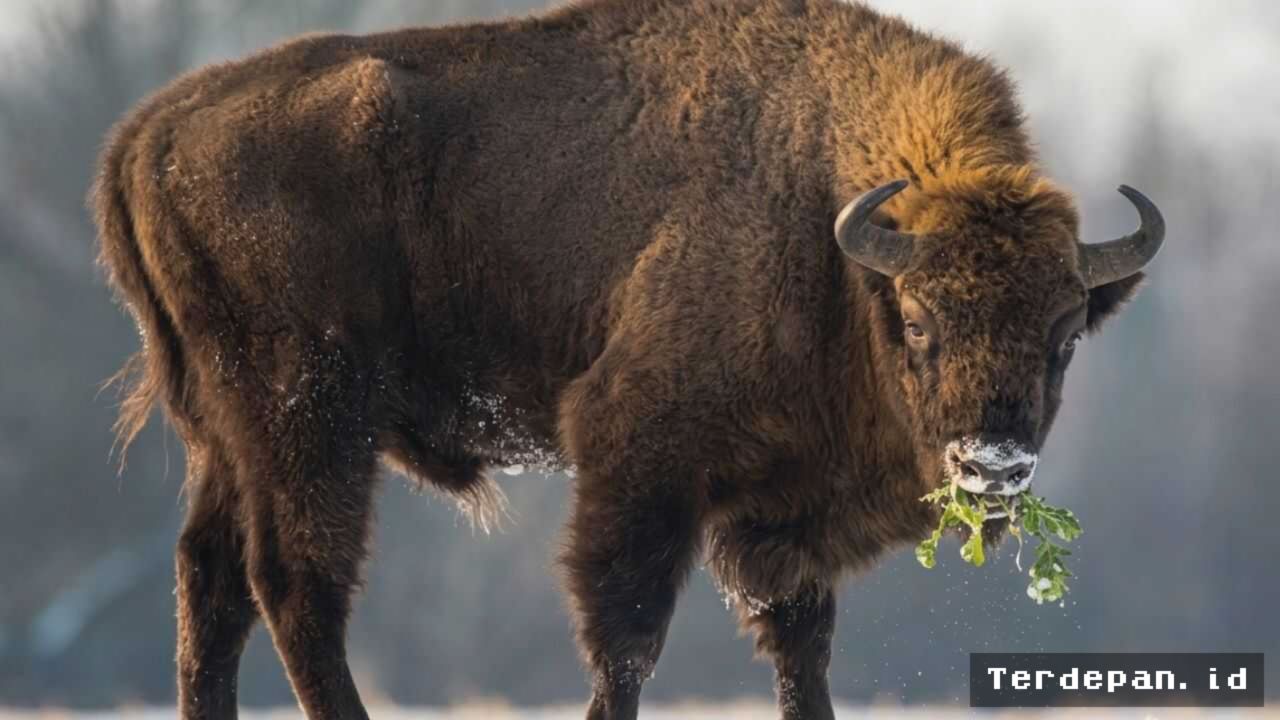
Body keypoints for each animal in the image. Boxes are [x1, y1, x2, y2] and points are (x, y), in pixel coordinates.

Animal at [92, 0, 1163, 718]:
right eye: (920, 318)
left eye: (1067, 333)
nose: (994, 465)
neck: (829, 229)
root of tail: (148, 132)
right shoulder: (641, 460)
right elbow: (627, 632)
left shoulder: (783, 513)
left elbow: (801, 643)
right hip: (310, 419)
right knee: (297, 583)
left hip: (227, 436)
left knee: (211, 582)